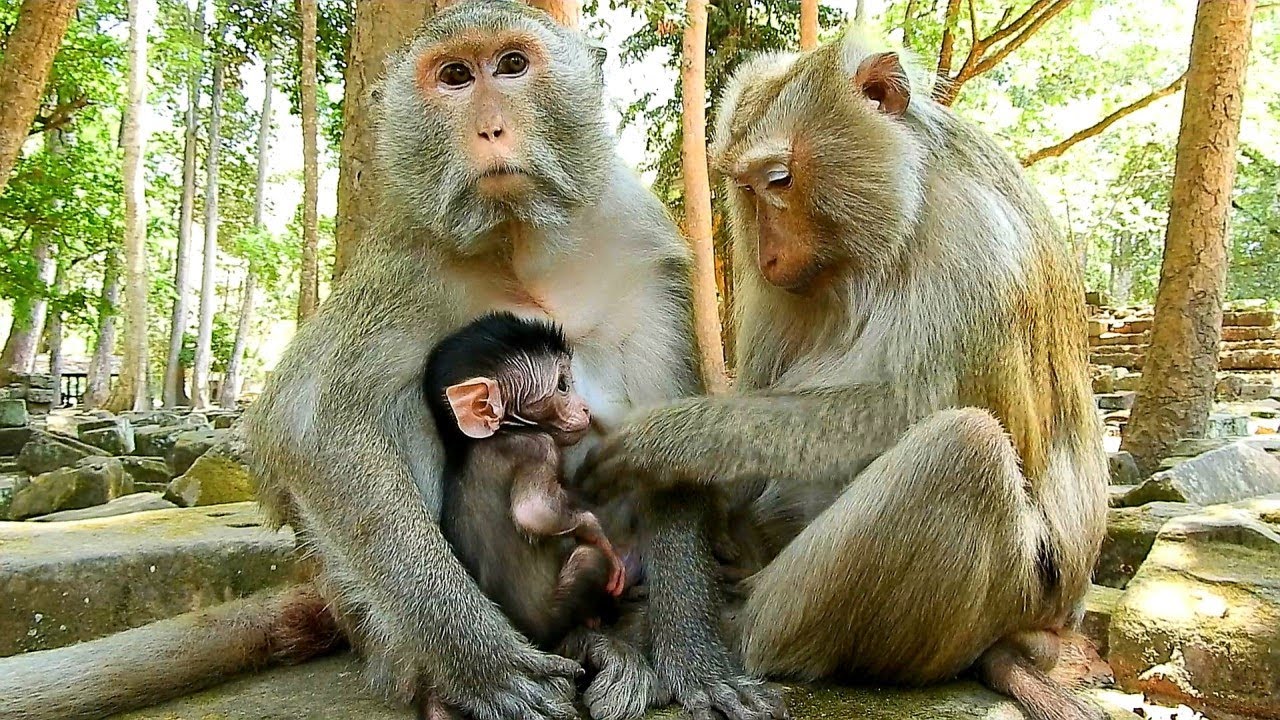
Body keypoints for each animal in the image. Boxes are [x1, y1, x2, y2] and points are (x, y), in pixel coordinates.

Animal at [424, 311, 627, 650]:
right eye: (563, 385)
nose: (586, 408)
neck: (500, 432)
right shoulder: (537, 447)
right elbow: (534, 513)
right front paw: (601, 538)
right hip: (553, 619)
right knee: (588, 559)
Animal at [578, 32, 1108, 720]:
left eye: (780, 180)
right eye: (745, 191)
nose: (769, 254)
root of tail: (1044, 633)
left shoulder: (979, 242)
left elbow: (906, 407)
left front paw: (668, 441)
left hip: (1009, 603)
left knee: (963, 449)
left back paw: (731, 630)